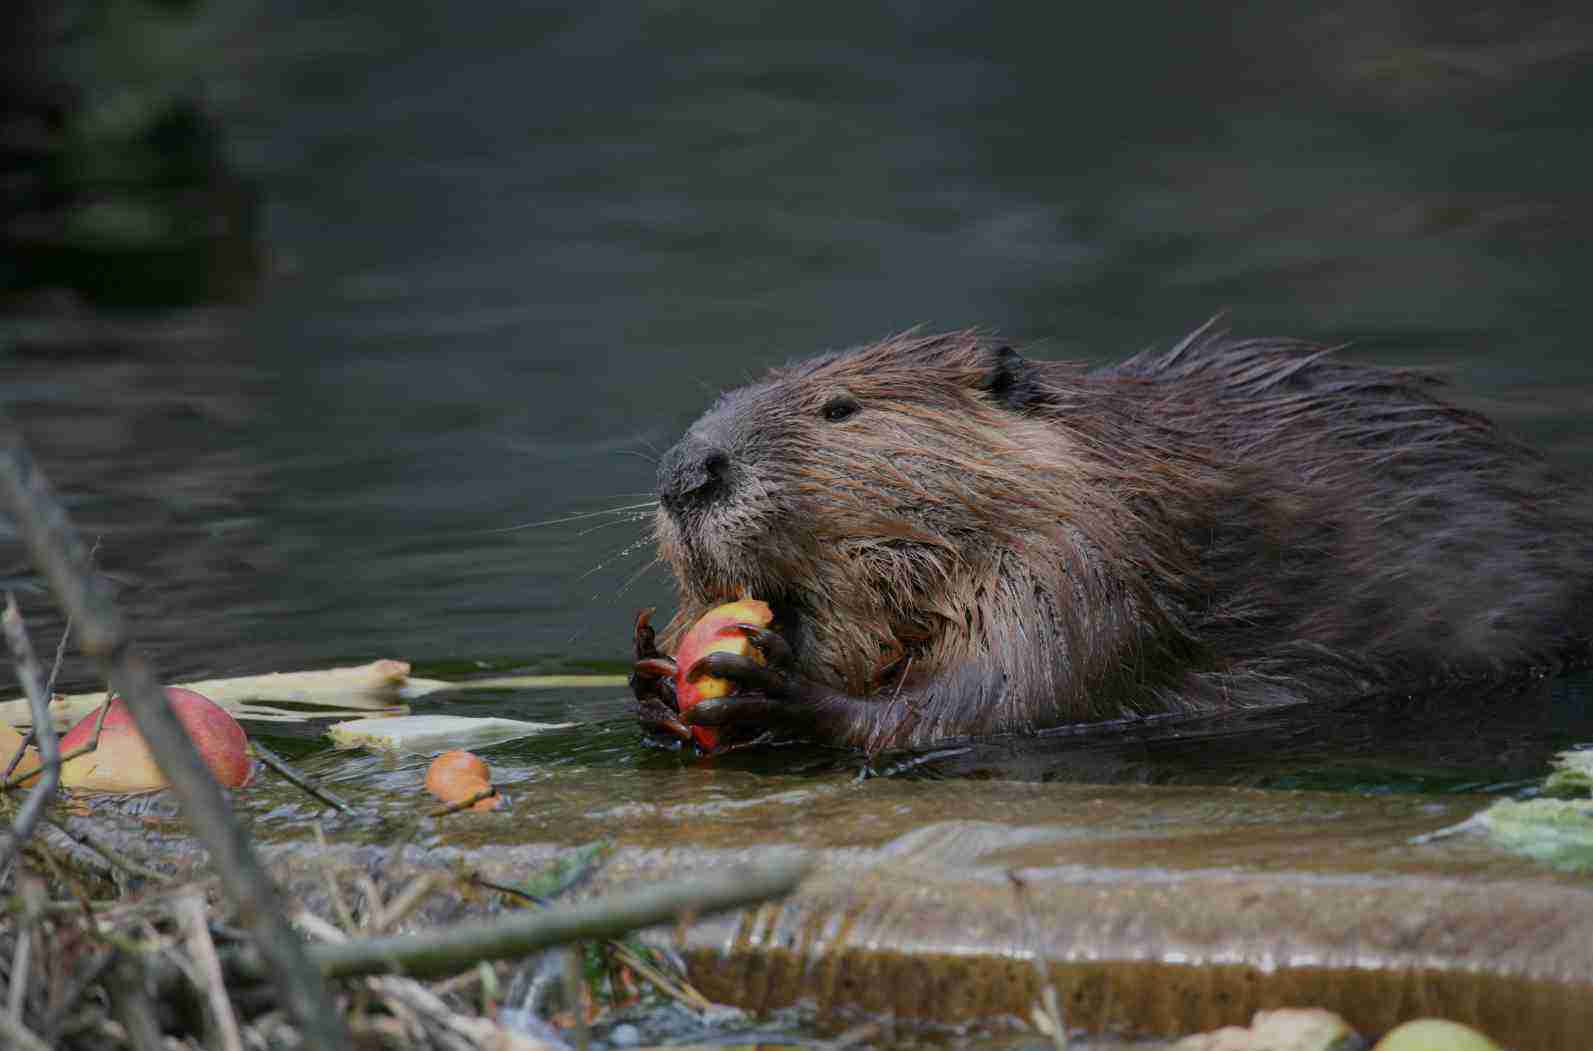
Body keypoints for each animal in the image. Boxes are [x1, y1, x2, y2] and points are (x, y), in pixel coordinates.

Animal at [627, 324, 1586, 751]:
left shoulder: (1088, 560)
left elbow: (998, 698)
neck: (1105, 460)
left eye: (839, 408)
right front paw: (651, 677)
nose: (685, 471)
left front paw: (775, 690)